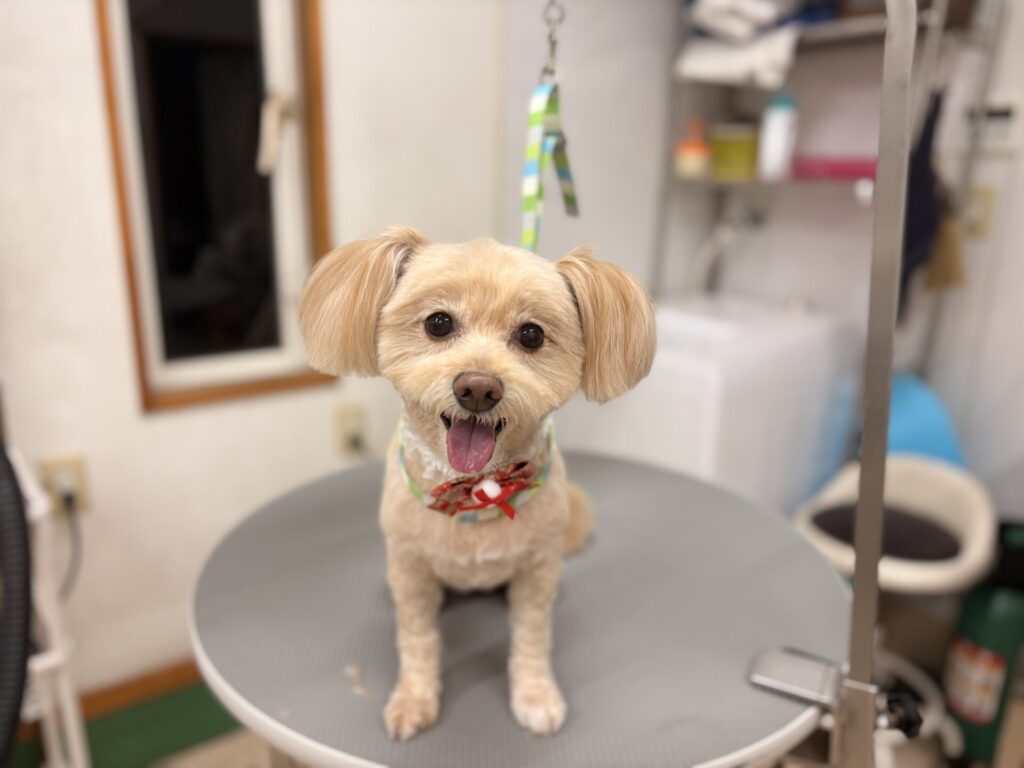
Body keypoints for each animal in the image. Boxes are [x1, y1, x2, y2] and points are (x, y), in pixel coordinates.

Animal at [299, 227, 655, 740]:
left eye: (531, 334)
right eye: (438, 323)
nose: (478, 388)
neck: (475, 493)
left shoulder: (535, 573)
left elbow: (531, 638)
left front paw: (535, 696)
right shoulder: (412, 572)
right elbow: (418, 639)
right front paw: (414, 699)